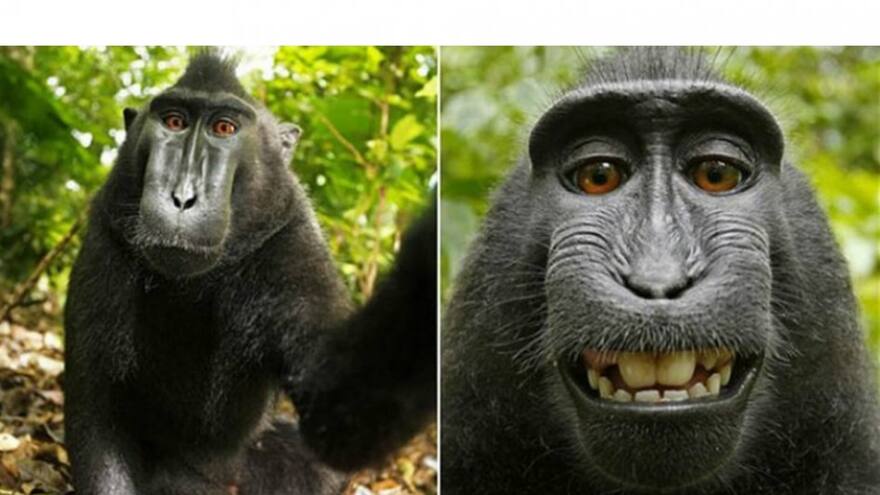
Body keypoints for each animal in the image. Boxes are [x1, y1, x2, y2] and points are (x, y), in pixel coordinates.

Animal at [63, 51, 436, 495]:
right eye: (174, 122)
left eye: (224, 128)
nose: (183, 197)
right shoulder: (107, 239)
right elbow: (97, 408)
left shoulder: (291, 244)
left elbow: (339, 413)